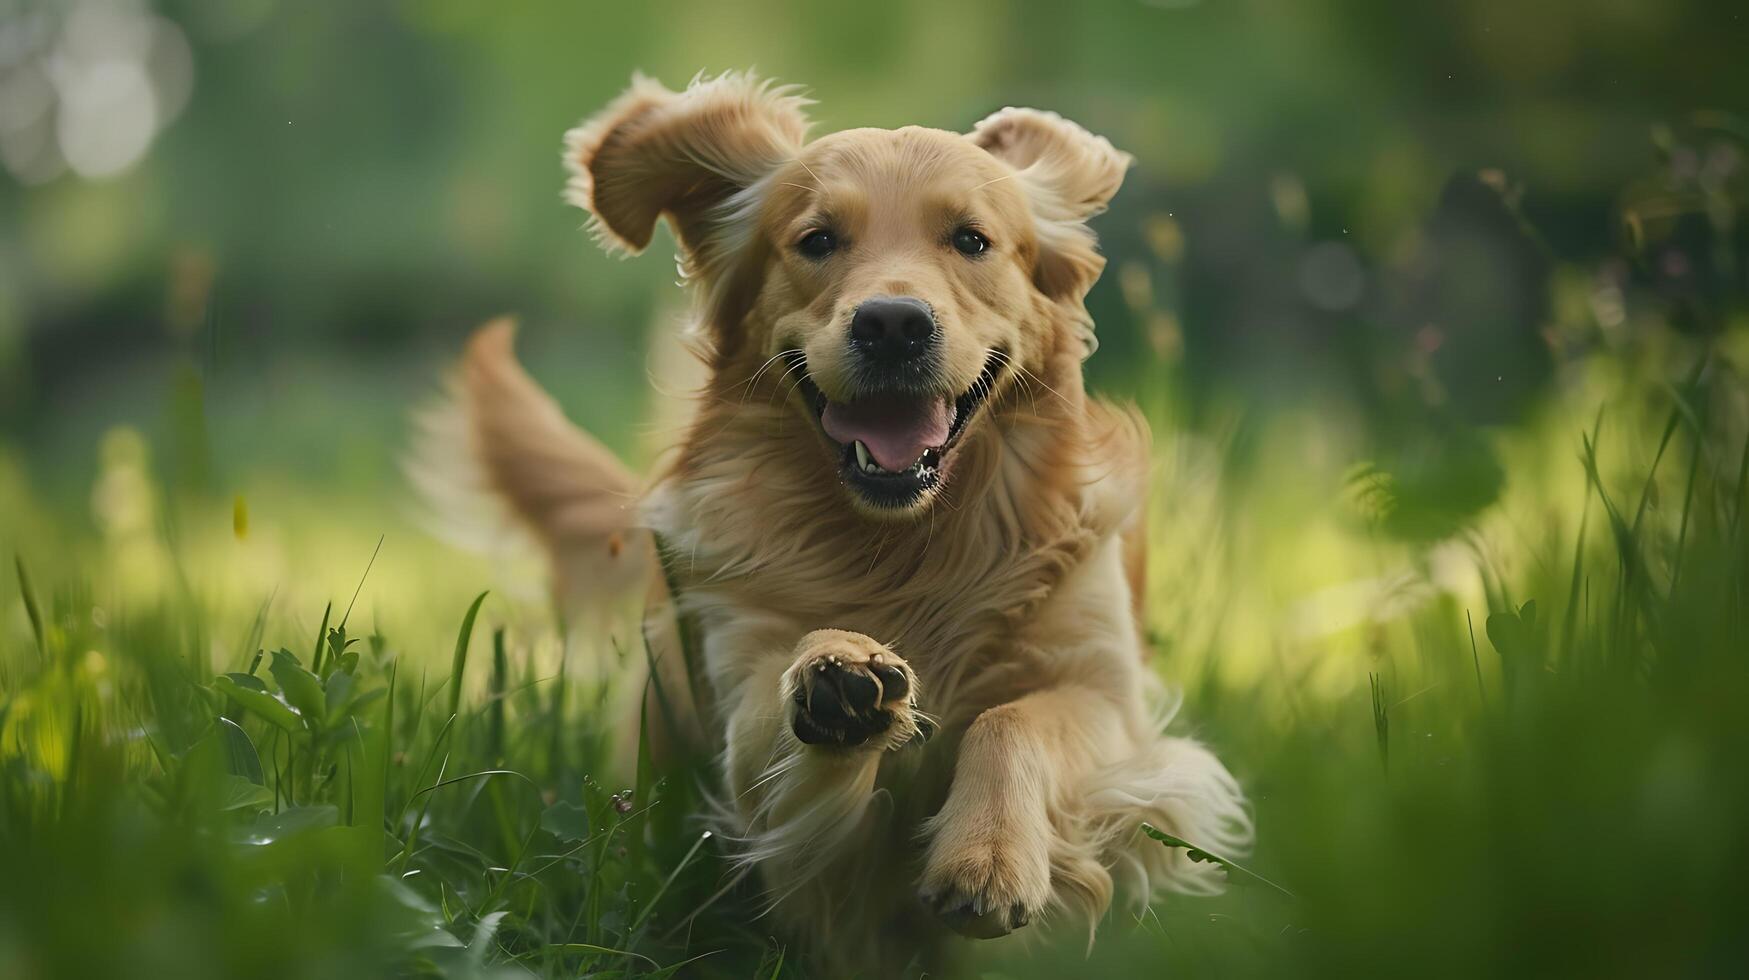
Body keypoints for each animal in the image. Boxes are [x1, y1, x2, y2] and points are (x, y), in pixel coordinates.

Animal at [444, 72, 1252, 973]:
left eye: (971, 240)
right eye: (817, 240)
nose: (892, 323)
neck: (906, 544)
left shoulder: (1108, 698)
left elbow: (1014, 718)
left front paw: (989, 858)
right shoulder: (741, 697)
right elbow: (781, 709)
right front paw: (836, 675)